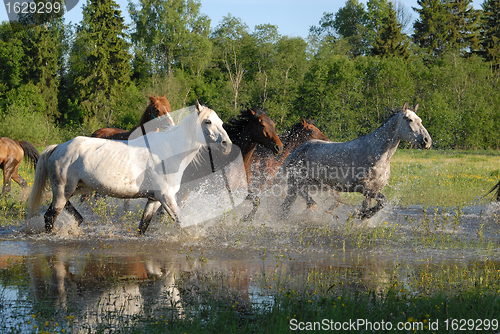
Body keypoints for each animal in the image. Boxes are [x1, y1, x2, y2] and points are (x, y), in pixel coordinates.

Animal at [26, 102, 230, 235]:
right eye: (207, 122)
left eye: (220, 122)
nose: (227, 145)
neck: (169, 151)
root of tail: (58, 147)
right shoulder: (166, 197)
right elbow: (181, 222)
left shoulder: (154, 200)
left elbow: (143, 227)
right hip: (63, 190)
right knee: (50, 216)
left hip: (76, 189)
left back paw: (78, 220)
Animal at [284, 103, 432, 220]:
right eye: (409, 119)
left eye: (420, 120)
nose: (427, 141)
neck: (378, 155)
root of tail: (296, 151)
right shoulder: (363, 187)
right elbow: (383, 201)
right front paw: (358, 214)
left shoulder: (373, 190)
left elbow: (375, 206)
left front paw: (361, 216)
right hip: (295, 184)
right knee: (285, 206)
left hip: (313, 184)